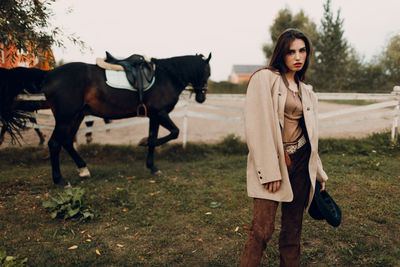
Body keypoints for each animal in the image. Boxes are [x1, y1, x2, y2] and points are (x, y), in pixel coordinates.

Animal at [43, 52, 212, 186]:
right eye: (208, 73)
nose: (202, 97)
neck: (167, 77)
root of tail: (49, 75)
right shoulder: (161, 113)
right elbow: (174, 132)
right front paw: (143, 143)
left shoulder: (154, 116)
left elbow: (153, 139)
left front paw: (152, 167)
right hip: (65, 119)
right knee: (54, 144)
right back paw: (60, 181)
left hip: (77, 116)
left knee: (67, 141)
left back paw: (83, 170)